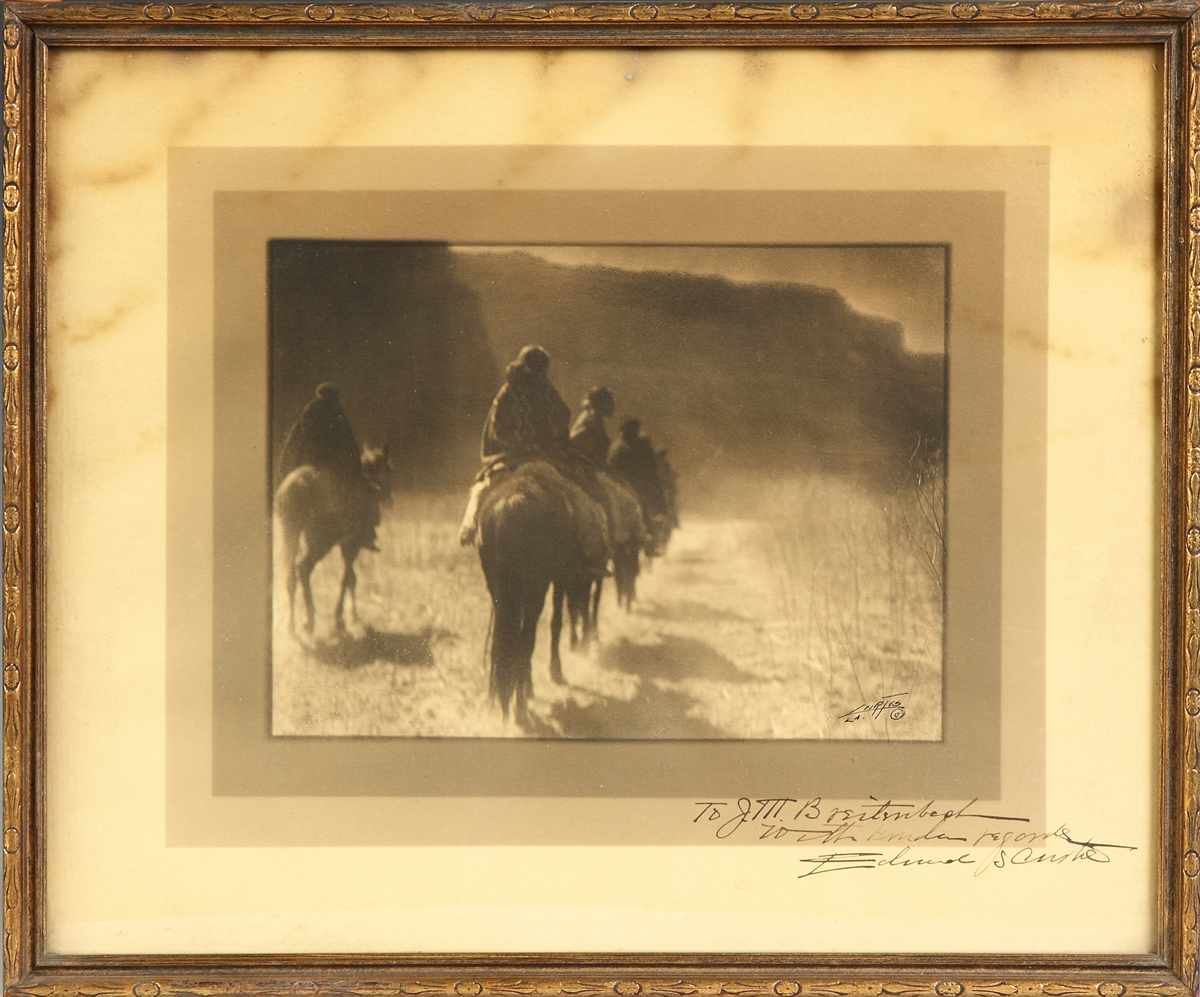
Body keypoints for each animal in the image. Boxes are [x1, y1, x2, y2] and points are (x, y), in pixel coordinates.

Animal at [274, 446, 388, 633]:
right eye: (389, 468)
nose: (387, 497)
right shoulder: (351, 544)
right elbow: (348, 578)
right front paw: (344, 619)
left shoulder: (346, 545)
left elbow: (350, 577)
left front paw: (348, 618)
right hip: (320, 542)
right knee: (303, 568)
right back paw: (309, 621)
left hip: (290, 533)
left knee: (291, 575)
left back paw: (292, 626)